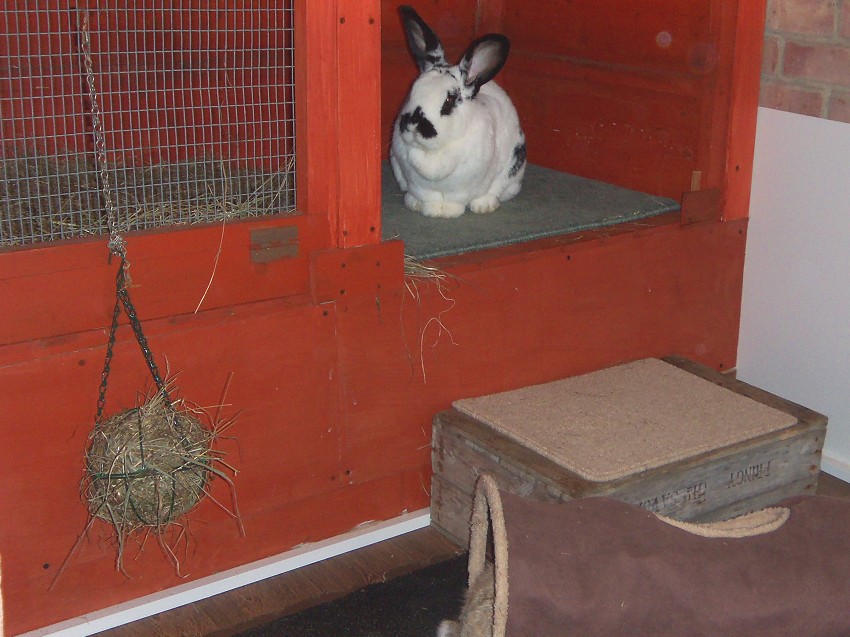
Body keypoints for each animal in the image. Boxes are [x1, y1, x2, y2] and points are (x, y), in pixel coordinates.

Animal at [390, 4, 524, 220]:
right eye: (412, 90)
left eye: (449, 100)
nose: (413, 125)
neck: (432, 152)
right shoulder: (417, 183)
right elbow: (427, 195)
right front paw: (426, 208)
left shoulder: (462, 186)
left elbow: (454, 198)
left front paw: (448, 212)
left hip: (511, 171)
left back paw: (484, 205)